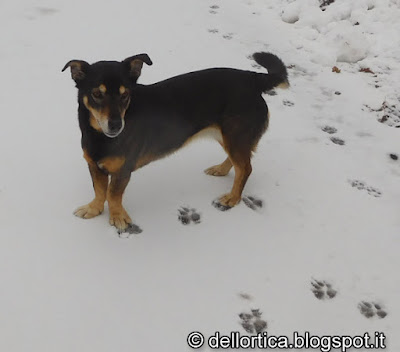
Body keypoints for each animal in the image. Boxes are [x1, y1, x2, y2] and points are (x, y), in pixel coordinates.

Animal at [62, 52, 288, 232]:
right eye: (96, 94)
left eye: (125, 95)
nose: (116, 125)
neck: (100, 135)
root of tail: (252, 78)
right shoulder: (94, 165)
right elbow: (100, 191)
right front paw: (94, 209)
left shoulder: (122, 171)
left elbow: (113, 195)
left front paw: (118, 218)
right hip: (228, 136)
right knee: (239, 162)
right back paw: (221, 170)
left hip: (235, 134)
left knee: (245, 168)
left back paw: (232, 198)